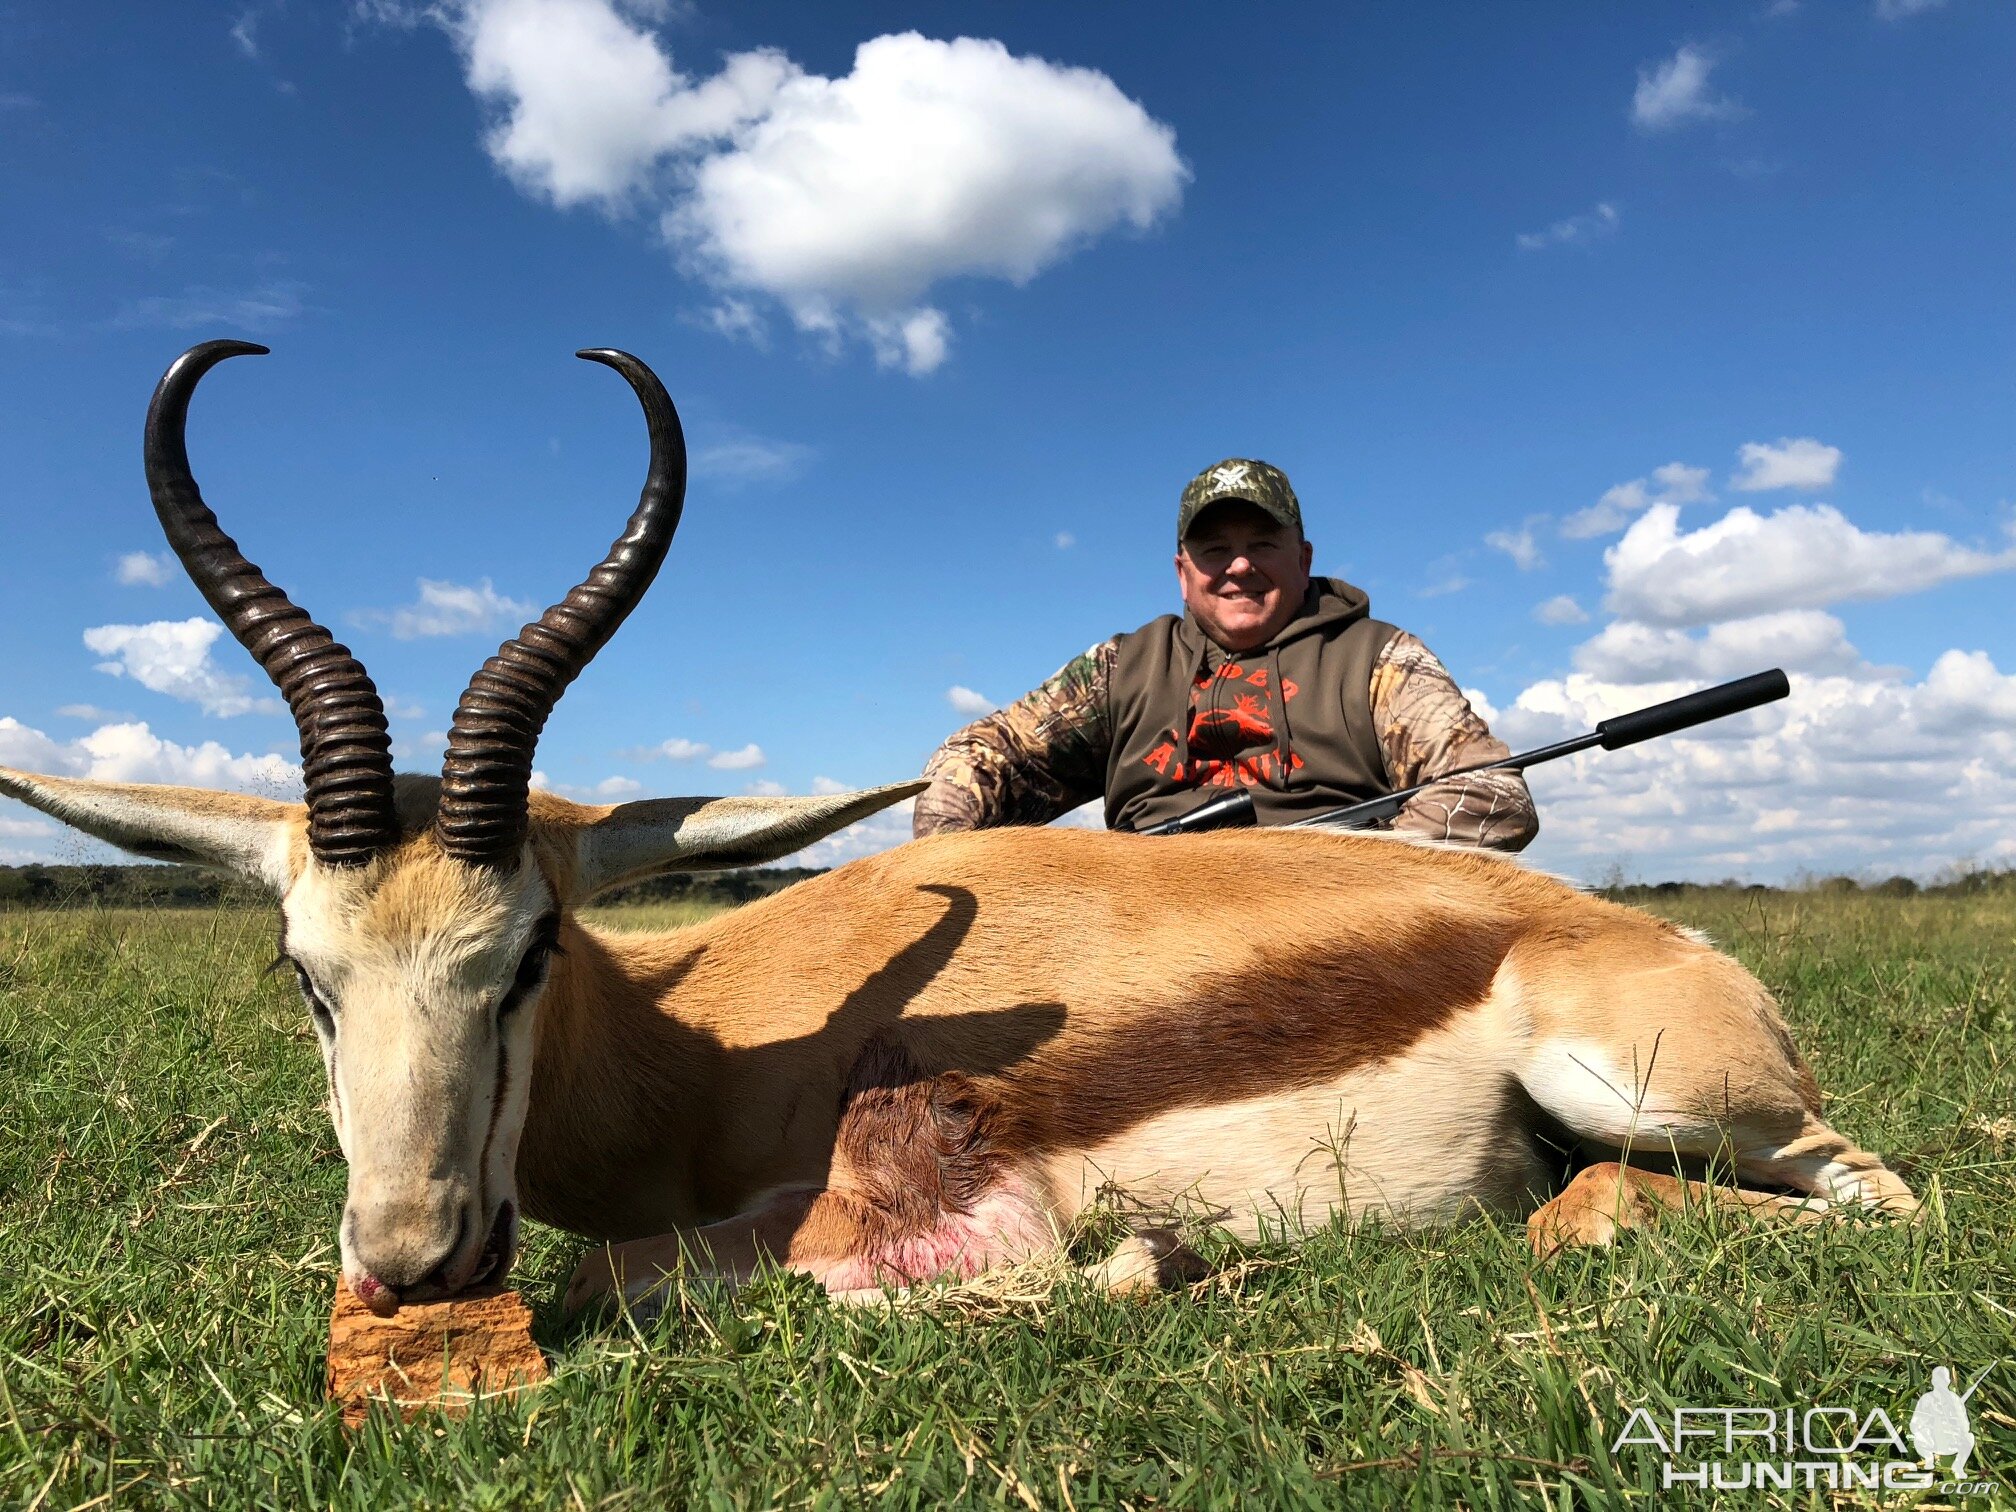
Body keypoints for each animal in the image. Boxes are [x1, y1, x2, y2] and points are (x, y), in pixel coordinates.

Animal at [0, 348, 1911, 1322]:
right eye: (302, 970)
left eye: (529, 949)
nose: (410, 1262)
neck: (717, 1029)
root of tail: (1662, 937)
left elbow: (654, 1278)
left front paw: (1148, 1256)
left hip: (1674, 1102)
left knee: (1834, 1198)